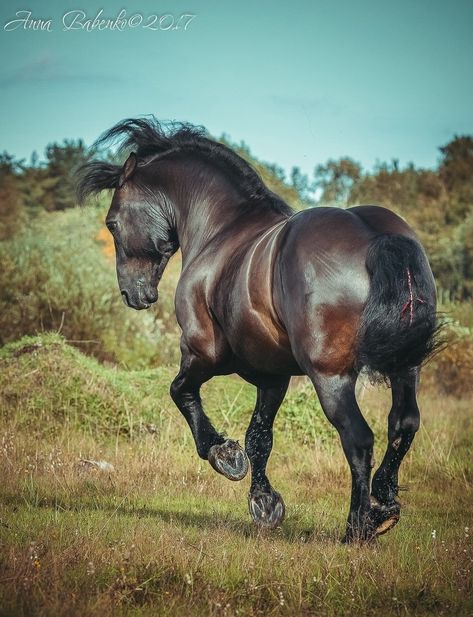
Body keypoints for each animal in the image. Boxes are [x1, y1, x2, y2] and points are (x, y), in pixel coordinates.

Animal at [76, 118, 436, 540]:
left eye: (112, 223)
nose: (132, 294)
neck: (222, 230)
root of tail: (377, 238)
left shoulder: (202, 353)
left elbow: (180, 392)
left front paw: (224, 456)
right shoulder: (272, 376)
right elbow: (260, 437)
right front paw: (264, 503)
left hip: (331, 376)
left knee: (358, 438)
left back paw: (357, 528)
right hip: (406, 367)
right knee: (403, 424)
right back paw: (385, 504)